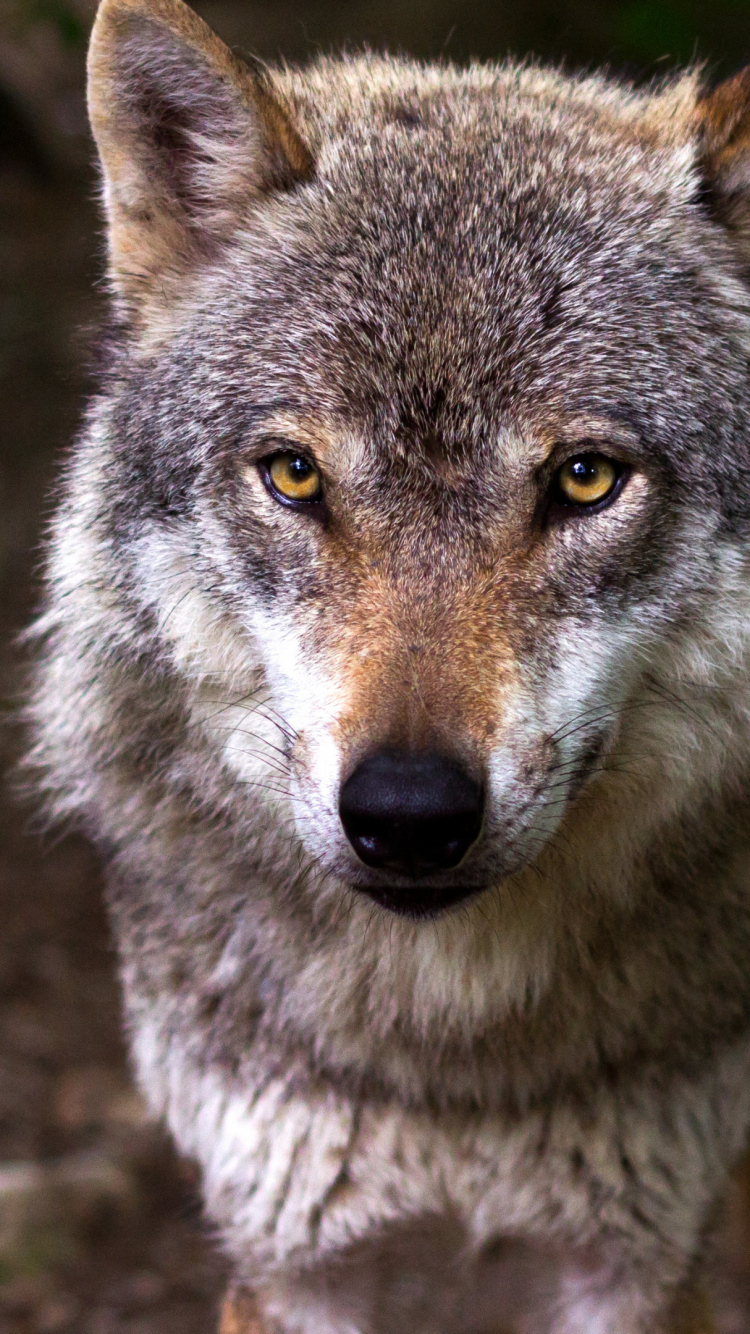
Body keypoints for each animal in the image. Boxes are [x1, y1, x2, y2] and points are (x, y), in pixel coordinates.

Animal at [24, 0, 750, 1327]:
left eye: (585, 478)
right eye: (295, 474)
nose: (409, 813)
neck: (447, 1063)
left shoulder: (640, 1260)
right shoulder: (290, 1258)